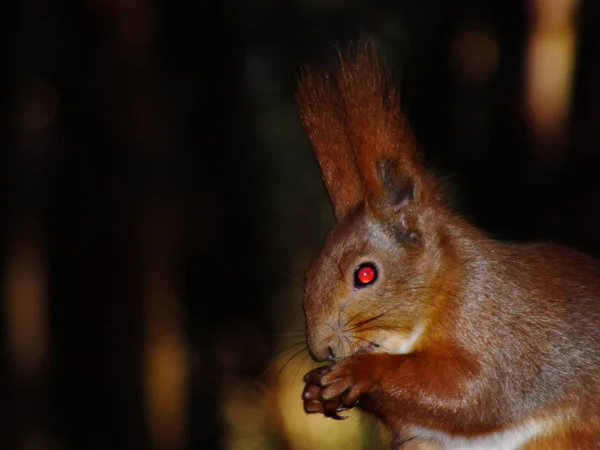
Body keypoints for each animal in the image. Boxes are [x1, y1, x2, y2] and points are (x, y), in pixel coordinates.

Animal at [298, 40, 600, 448]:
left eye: (365, 274)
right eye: (309, 274)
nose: (321, 349)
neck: (449, 286)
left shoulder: (508, 336)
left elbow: (473, 393)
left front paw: (362, 370)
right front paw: (315, 392)